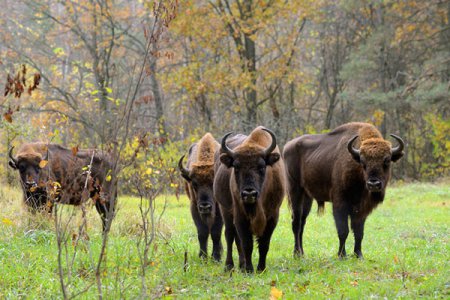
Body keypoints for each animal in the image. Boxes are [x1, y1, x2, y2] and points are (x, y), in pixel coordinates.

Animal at [178, 132, 223, 262]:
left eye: (213, 182)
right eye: (194, 184)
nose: (205, 207)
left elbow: (216, 232)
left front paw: (216, 258)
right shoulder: (194, 207)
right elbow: (202, 232)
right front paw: (203, 257)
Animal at [214, 126, 284, 272]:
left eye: (262, 166)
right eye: (236, 167)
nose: (249, 193)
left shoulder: (273, 216)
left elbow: (264, 244)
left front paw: (261, 269)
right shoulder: (240, 215)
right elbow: (247, 243)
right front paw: (249, 270)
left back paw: (241, 265)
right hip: (225, 209)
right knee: (230, 235)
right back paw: (229, 266)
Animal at [284, 122, 404, 258]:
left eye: (387, 160)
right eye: (362, 161)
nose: (373, 184)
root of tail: (287, 146)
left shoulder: (361, 209)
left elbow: (359, 232)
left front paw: (359, 255)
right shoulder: (340, 204)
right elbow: (343, 231)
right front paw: (342, 255)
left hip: (307, 197)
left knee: (302, 223)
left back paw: (302, 253)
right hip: (295, 191)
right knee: (296, 222)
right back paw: (297, 254)